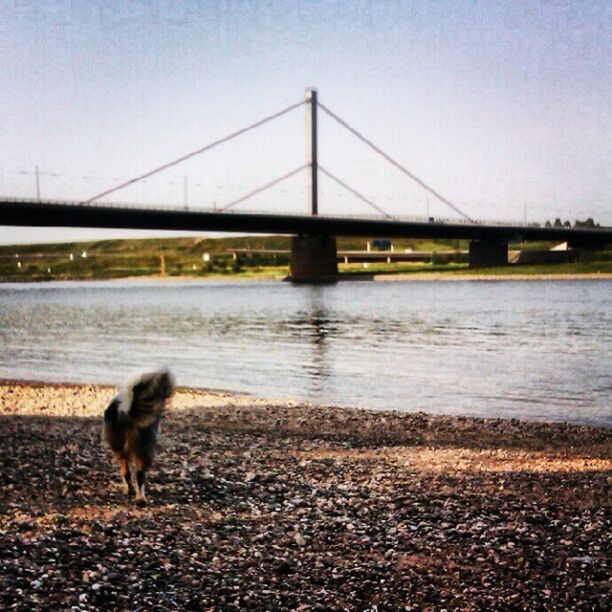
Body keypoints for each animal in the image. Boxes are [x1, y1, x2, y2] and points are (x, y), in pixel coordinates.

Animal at [103, 370, 173, 504]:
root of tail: (126, 410)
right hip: (145, 447)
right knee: (139, 474)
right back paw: (140, 498)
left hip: (119, 446)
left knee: (127, 472)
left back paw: (131, 492)